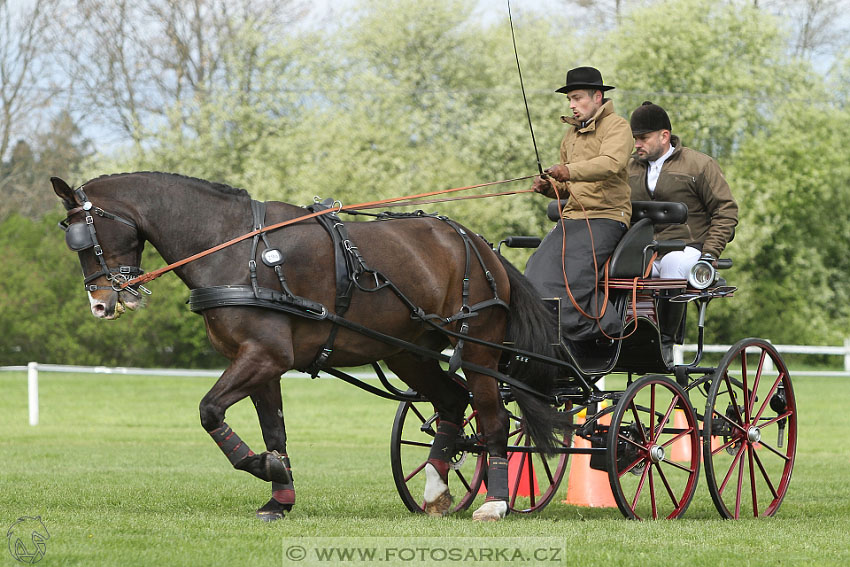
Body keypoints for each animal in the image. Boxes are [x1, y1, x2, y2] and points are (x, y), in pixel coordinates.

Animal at [54, 173, 568, 524]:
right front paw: (279, 491)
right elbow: (274, 430)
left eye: (83, 236)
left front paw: (260, 467)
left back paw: (496, 502)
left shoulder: (264, 356)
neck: (233, 249)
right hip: (409, 351)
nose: (100, 304)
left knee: (492, 417)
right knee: (452, 403)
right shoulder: (260, 362)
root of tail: (479, 244)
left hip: (477, 347)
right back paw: (436, 491)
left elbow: (209, 411)